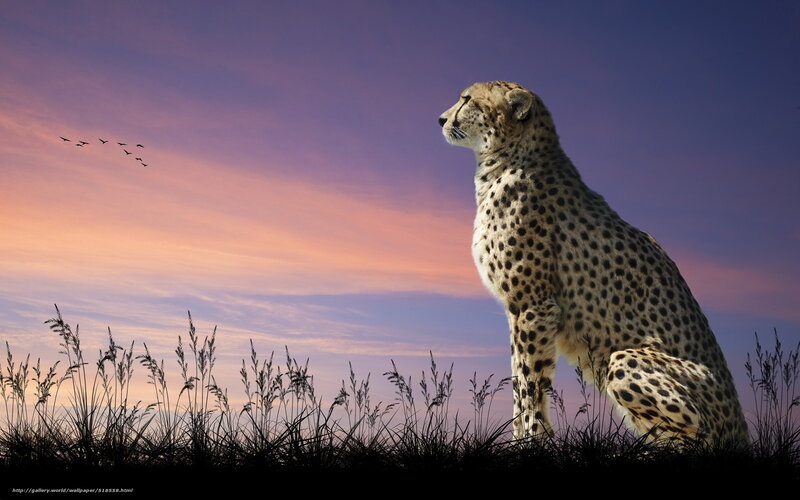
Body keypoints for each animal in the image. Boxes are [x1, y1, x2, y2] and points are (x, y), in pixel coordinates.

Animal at [438, 81, 748, 446]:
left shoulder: (532, 305)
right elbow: (520, 382)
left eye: (467, 99)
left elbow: (529, 384)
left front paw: (528, 442)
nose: (441, 119)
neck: (504, 160)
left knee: (694, 437)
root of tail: (740, 427)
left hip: (626, 359)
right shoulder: (524, 309)